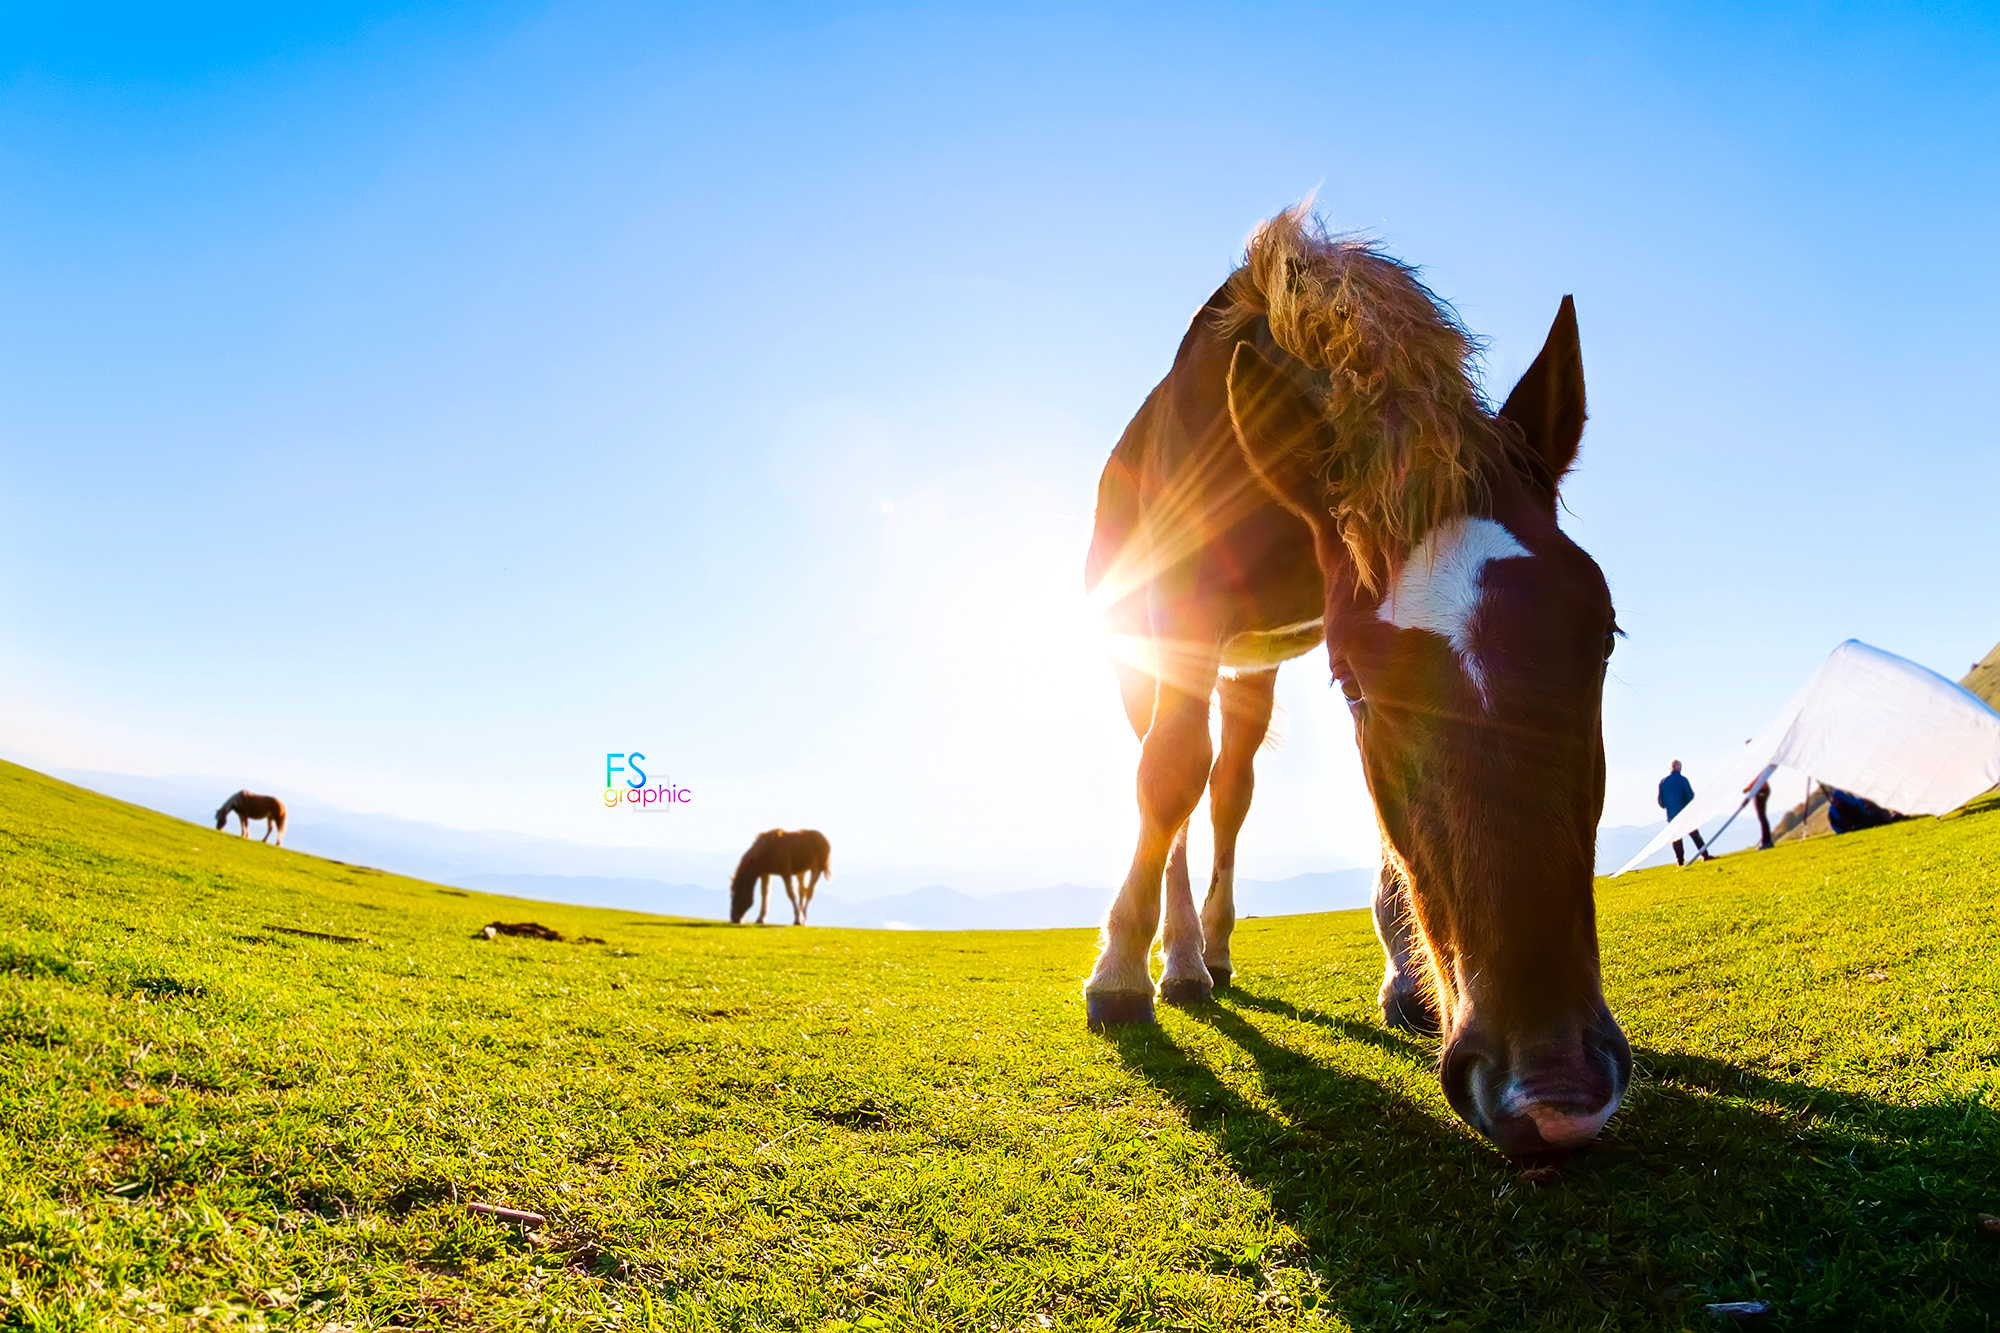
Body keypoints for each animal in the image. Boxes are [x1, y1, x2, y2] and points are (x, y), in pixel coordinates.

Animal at [1082, 204, 1628, 1157]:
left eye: (1602, 633)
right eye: (1352, 682)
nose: (1554, 1088)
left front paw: (1408, 978)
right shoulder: (1181, 618)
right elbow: (1166, 776)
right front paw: (1118, 974)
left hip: (1251, 665)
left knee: (1227, 793)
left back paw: (1208, 952)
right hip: (1143, 650)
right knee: (1174, 786)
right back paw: (1176, 960)